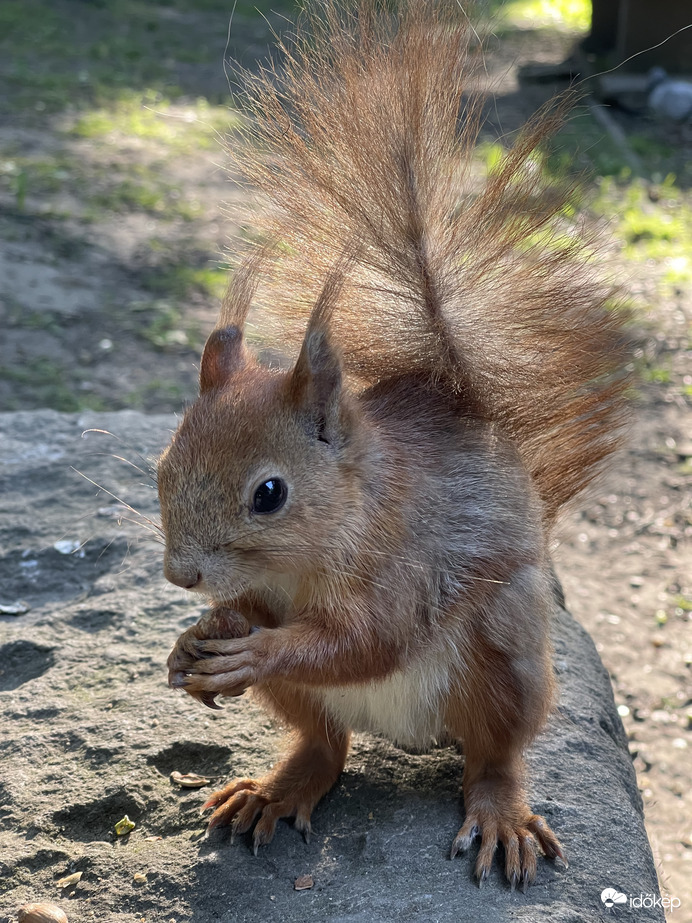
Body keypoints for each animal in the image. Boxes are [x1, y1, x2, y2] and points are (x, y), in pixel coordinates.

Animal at [157, 0, 632, 892]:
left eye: (269, 493)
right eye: (162, 467)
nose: (181, 575)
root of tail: (410, 736)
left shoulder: (406, 562)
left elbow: (363, 637)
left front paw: (255, 648)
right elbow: (257, 618)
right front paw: (199, 634)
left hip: (509, 652)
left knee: (496, 752)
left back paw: (500, 812)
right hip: (311, 707)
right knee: (325, 744)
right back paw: (276, 788)